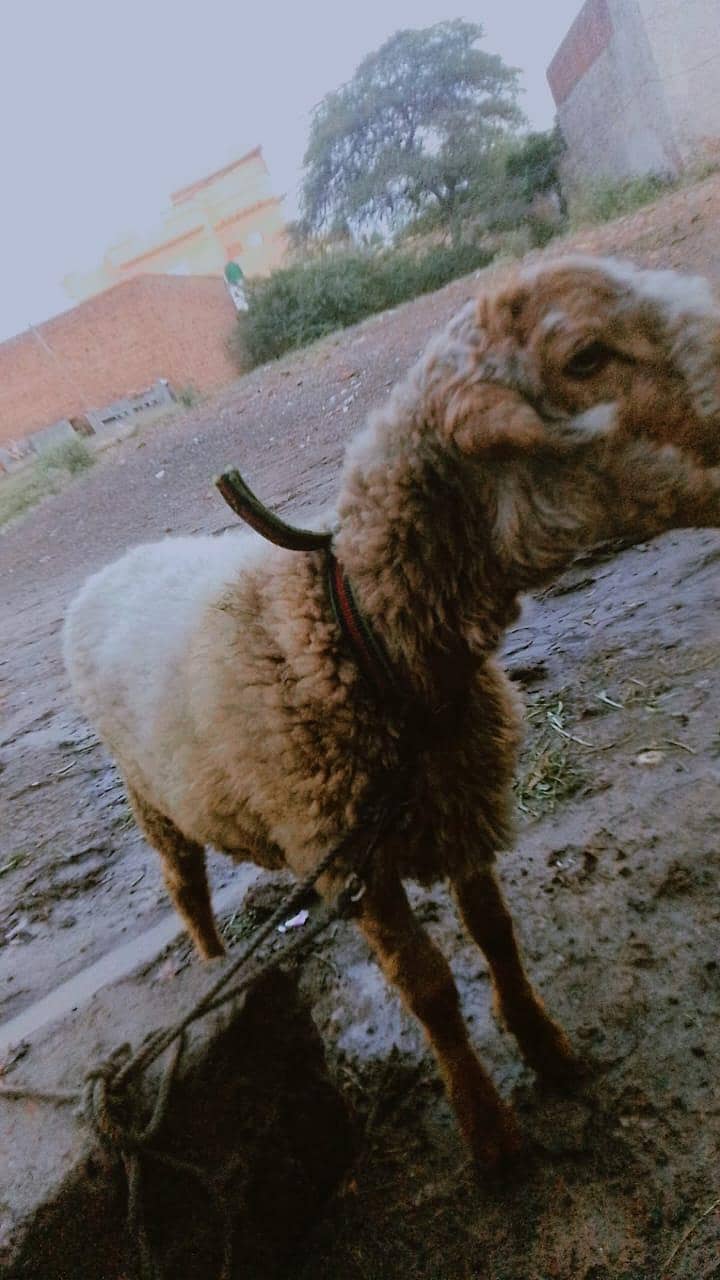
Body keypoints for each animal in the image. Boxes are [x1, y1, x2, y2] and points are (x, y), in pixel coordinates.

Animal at [64, 255, 720, 1168]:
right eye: (586, 355)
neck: (359, 635)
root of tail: (109, 571)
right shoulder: (352, 861)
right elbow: (432, 991)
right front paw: (489, 1131)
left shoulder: (459, 804)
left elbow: (497, 934)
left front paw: (545, 1046)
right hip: (151, 799)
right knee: (184, 889)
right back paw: (212, 961)